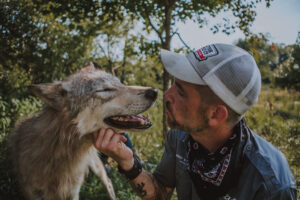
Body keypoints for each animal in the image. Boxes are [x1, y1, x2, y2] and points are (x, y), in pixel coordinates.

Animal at [9, 61, 157, 199]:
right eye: (105, 90)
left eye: (120, 84)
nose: (154, 91)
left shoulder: (73, 192)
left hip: (97, 167)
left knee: (108, 181)